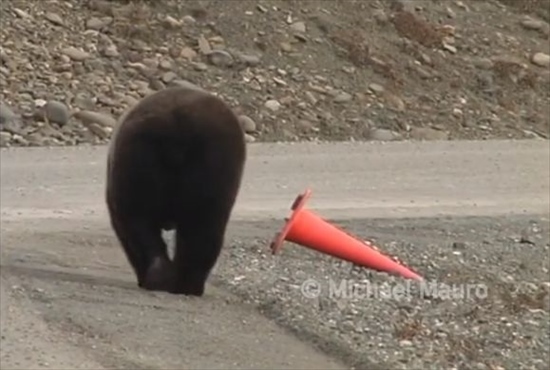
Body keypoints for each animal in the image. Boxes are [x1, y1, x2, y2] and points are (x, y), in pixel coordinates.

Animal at [106, 85, 248, 296]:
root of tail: (176, 127)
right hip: (212, 160)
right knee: (202, 226)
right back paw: (183, 283)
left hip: (140, 157)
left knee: (137, 221)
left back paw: (167, 280)